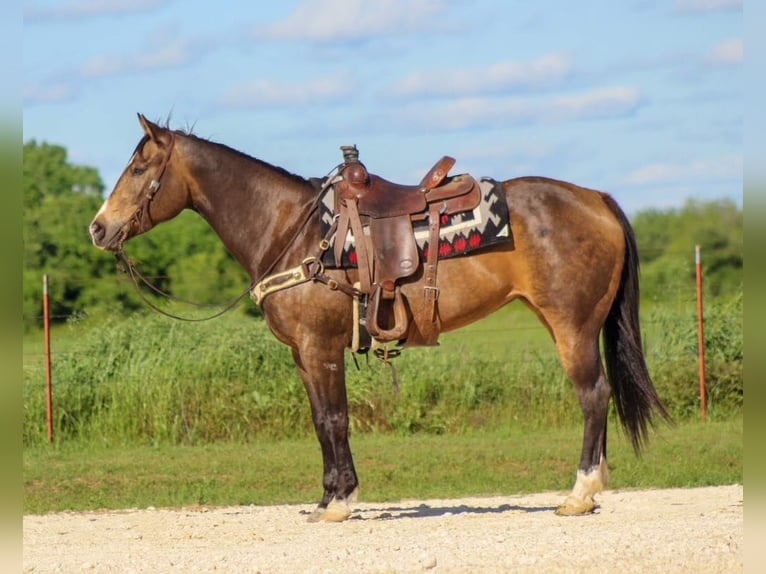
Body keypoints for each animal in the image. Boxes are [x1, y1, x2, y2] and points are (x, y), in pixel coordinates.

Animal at [90, 112, 672, 520]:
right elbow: (323, 421)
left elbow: (333, 418)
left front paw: (340, 503)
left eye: (138, 168)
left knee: (593, 396)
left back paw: (579, 493)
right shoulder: (304, 355)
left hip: (573, 327)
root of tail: (596, 198)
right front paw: (329, 497)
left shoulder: (320, 348)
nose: (98, 228)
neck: (293, 231)